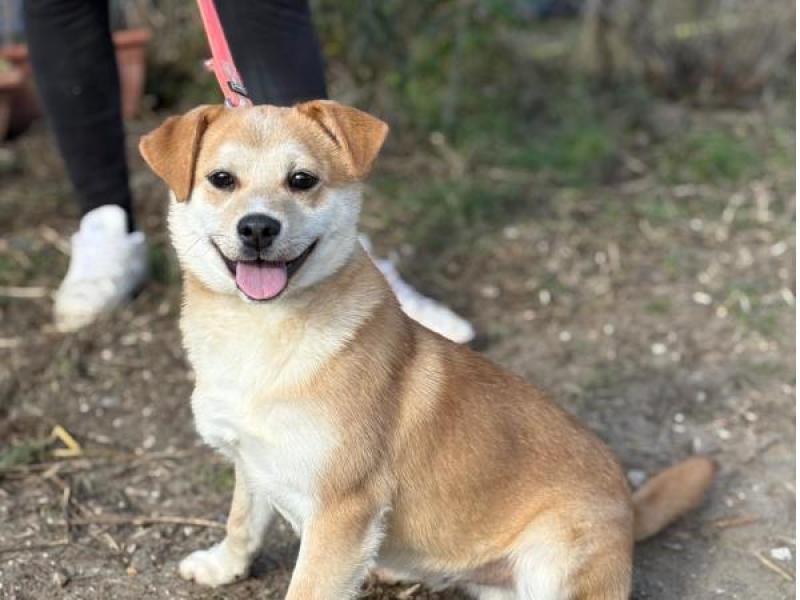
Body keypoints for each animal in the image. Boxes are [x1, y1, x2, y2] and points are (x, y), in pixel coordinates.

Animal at [139, 100, 716, 599]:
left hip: (552, 566)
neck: (259, 335)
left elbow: (306, 586)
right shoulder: (252, 463)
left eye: (302, 180)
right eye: (221, 179)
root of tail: (630, 508)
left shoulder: (342, 510)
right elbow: (242, 523)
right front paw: (222, 566)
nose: (258, 227)